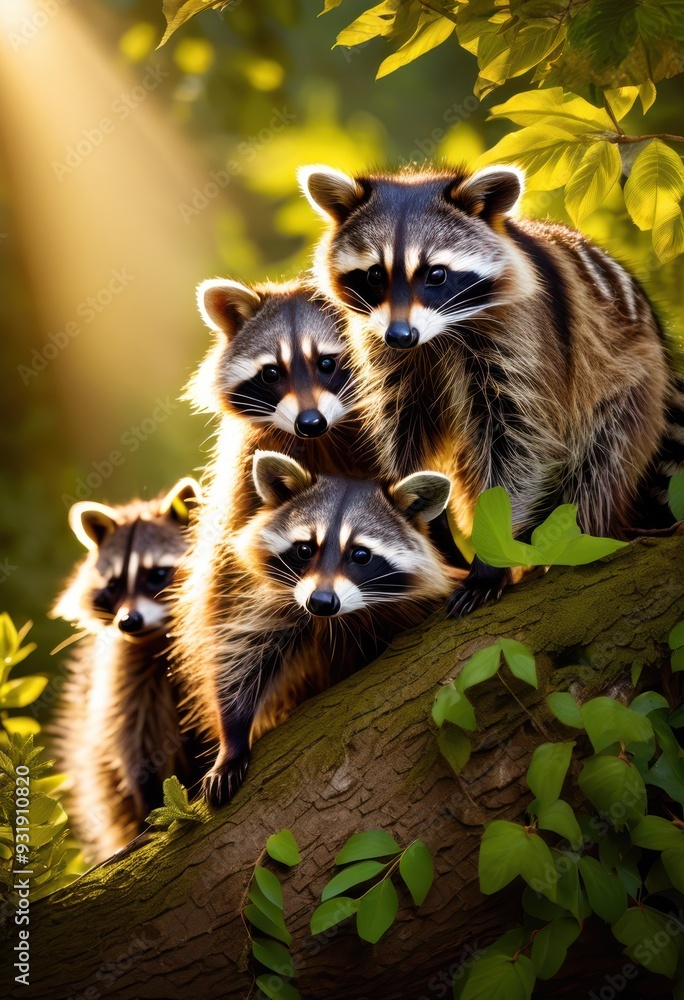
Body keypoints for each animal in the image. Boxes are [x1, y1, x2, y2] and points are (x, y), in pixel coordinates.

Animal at [51, 478, 207, 862]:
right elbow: (135, 735)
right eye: (114, 584)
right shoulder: (125, 673)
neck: (160, 636)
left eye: (159, 574)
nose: (128, 621)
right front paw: (151, 796)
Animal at [185, 450, 454, 806]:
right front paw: (233, 741)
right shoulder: (273, 603)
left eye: (360, 554)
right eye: (304, 549)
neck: (335, 621)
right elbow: (239, 661)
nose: (321, 602)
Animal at [300, 163, 679, 614]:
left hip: (631, 379)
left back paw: (572, 537)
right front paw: (419, 516)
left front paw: (492, 554)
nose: (401, 336)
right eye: (375, 274)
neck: (438, 334)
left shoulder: (523, 335)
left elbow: (519, 443)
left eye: (436, 274)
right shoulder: (388, 355)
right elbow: (404, 431)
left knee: (603, 460)